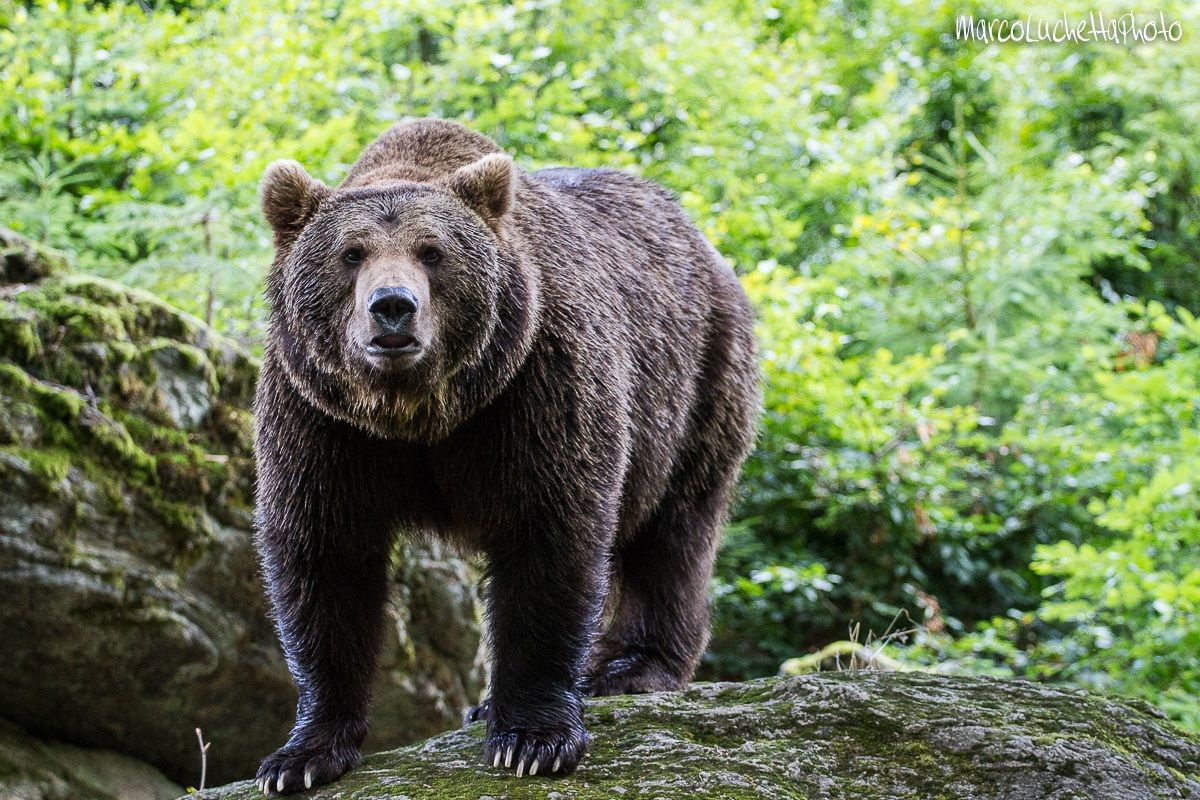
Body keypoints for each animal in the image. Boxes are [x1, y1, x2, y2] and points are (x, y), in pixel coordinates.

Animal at [252, 118, 758, 795]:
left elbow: (549, 538)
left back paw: (629, 666)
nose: (393, 306)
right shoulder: (322, 422)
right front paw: (301, 757)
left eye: (432, 251)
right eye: (351, 253)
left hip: (697, 382)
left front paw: (532, 738)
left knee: (674, 530)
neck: (417, 413)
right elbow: (324, 559)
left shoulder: (536, 387)